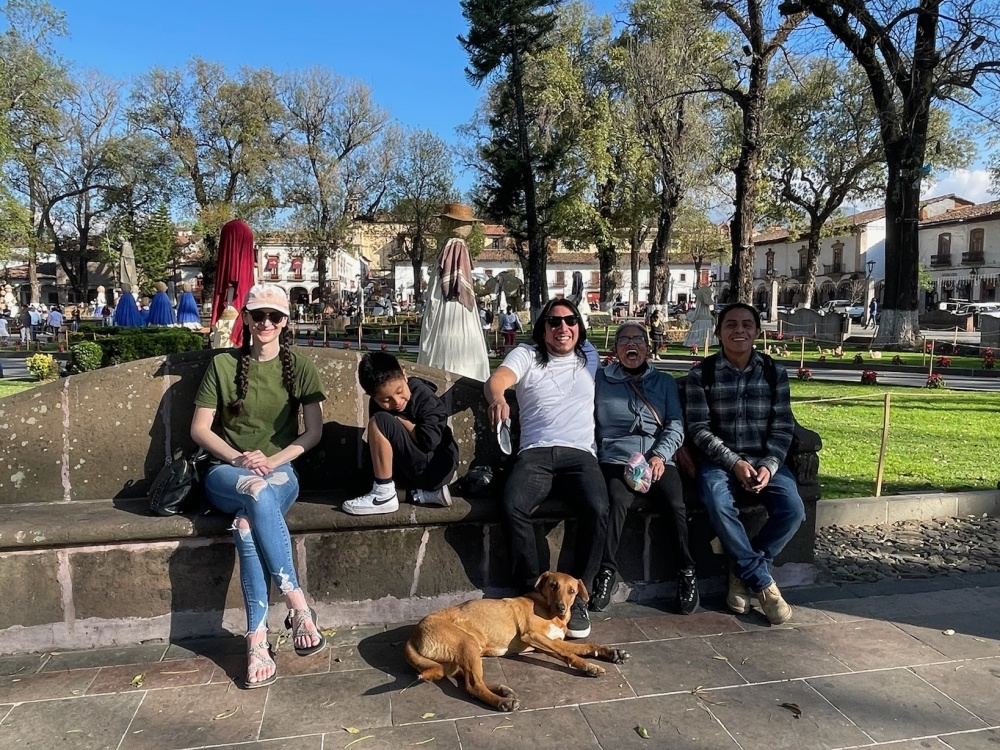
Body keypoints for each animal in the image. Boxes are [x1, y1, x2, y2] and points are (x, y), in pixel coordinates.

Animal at [402, 572, 628, 712]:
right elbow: (569, 654)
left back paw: (502, 691)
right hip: (467, 644)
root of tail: (413, 634)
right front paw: (589, 666)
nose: (561, 607)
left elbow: (584, 646)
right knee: (473, 685)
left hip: (463, 654)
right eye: (553, 586)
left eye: (571, 591)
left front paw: (610, 653)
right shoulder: (533, 636)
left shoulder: (553, 640)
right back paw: (502, 702)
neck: (547, 609)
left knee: (467, 679)